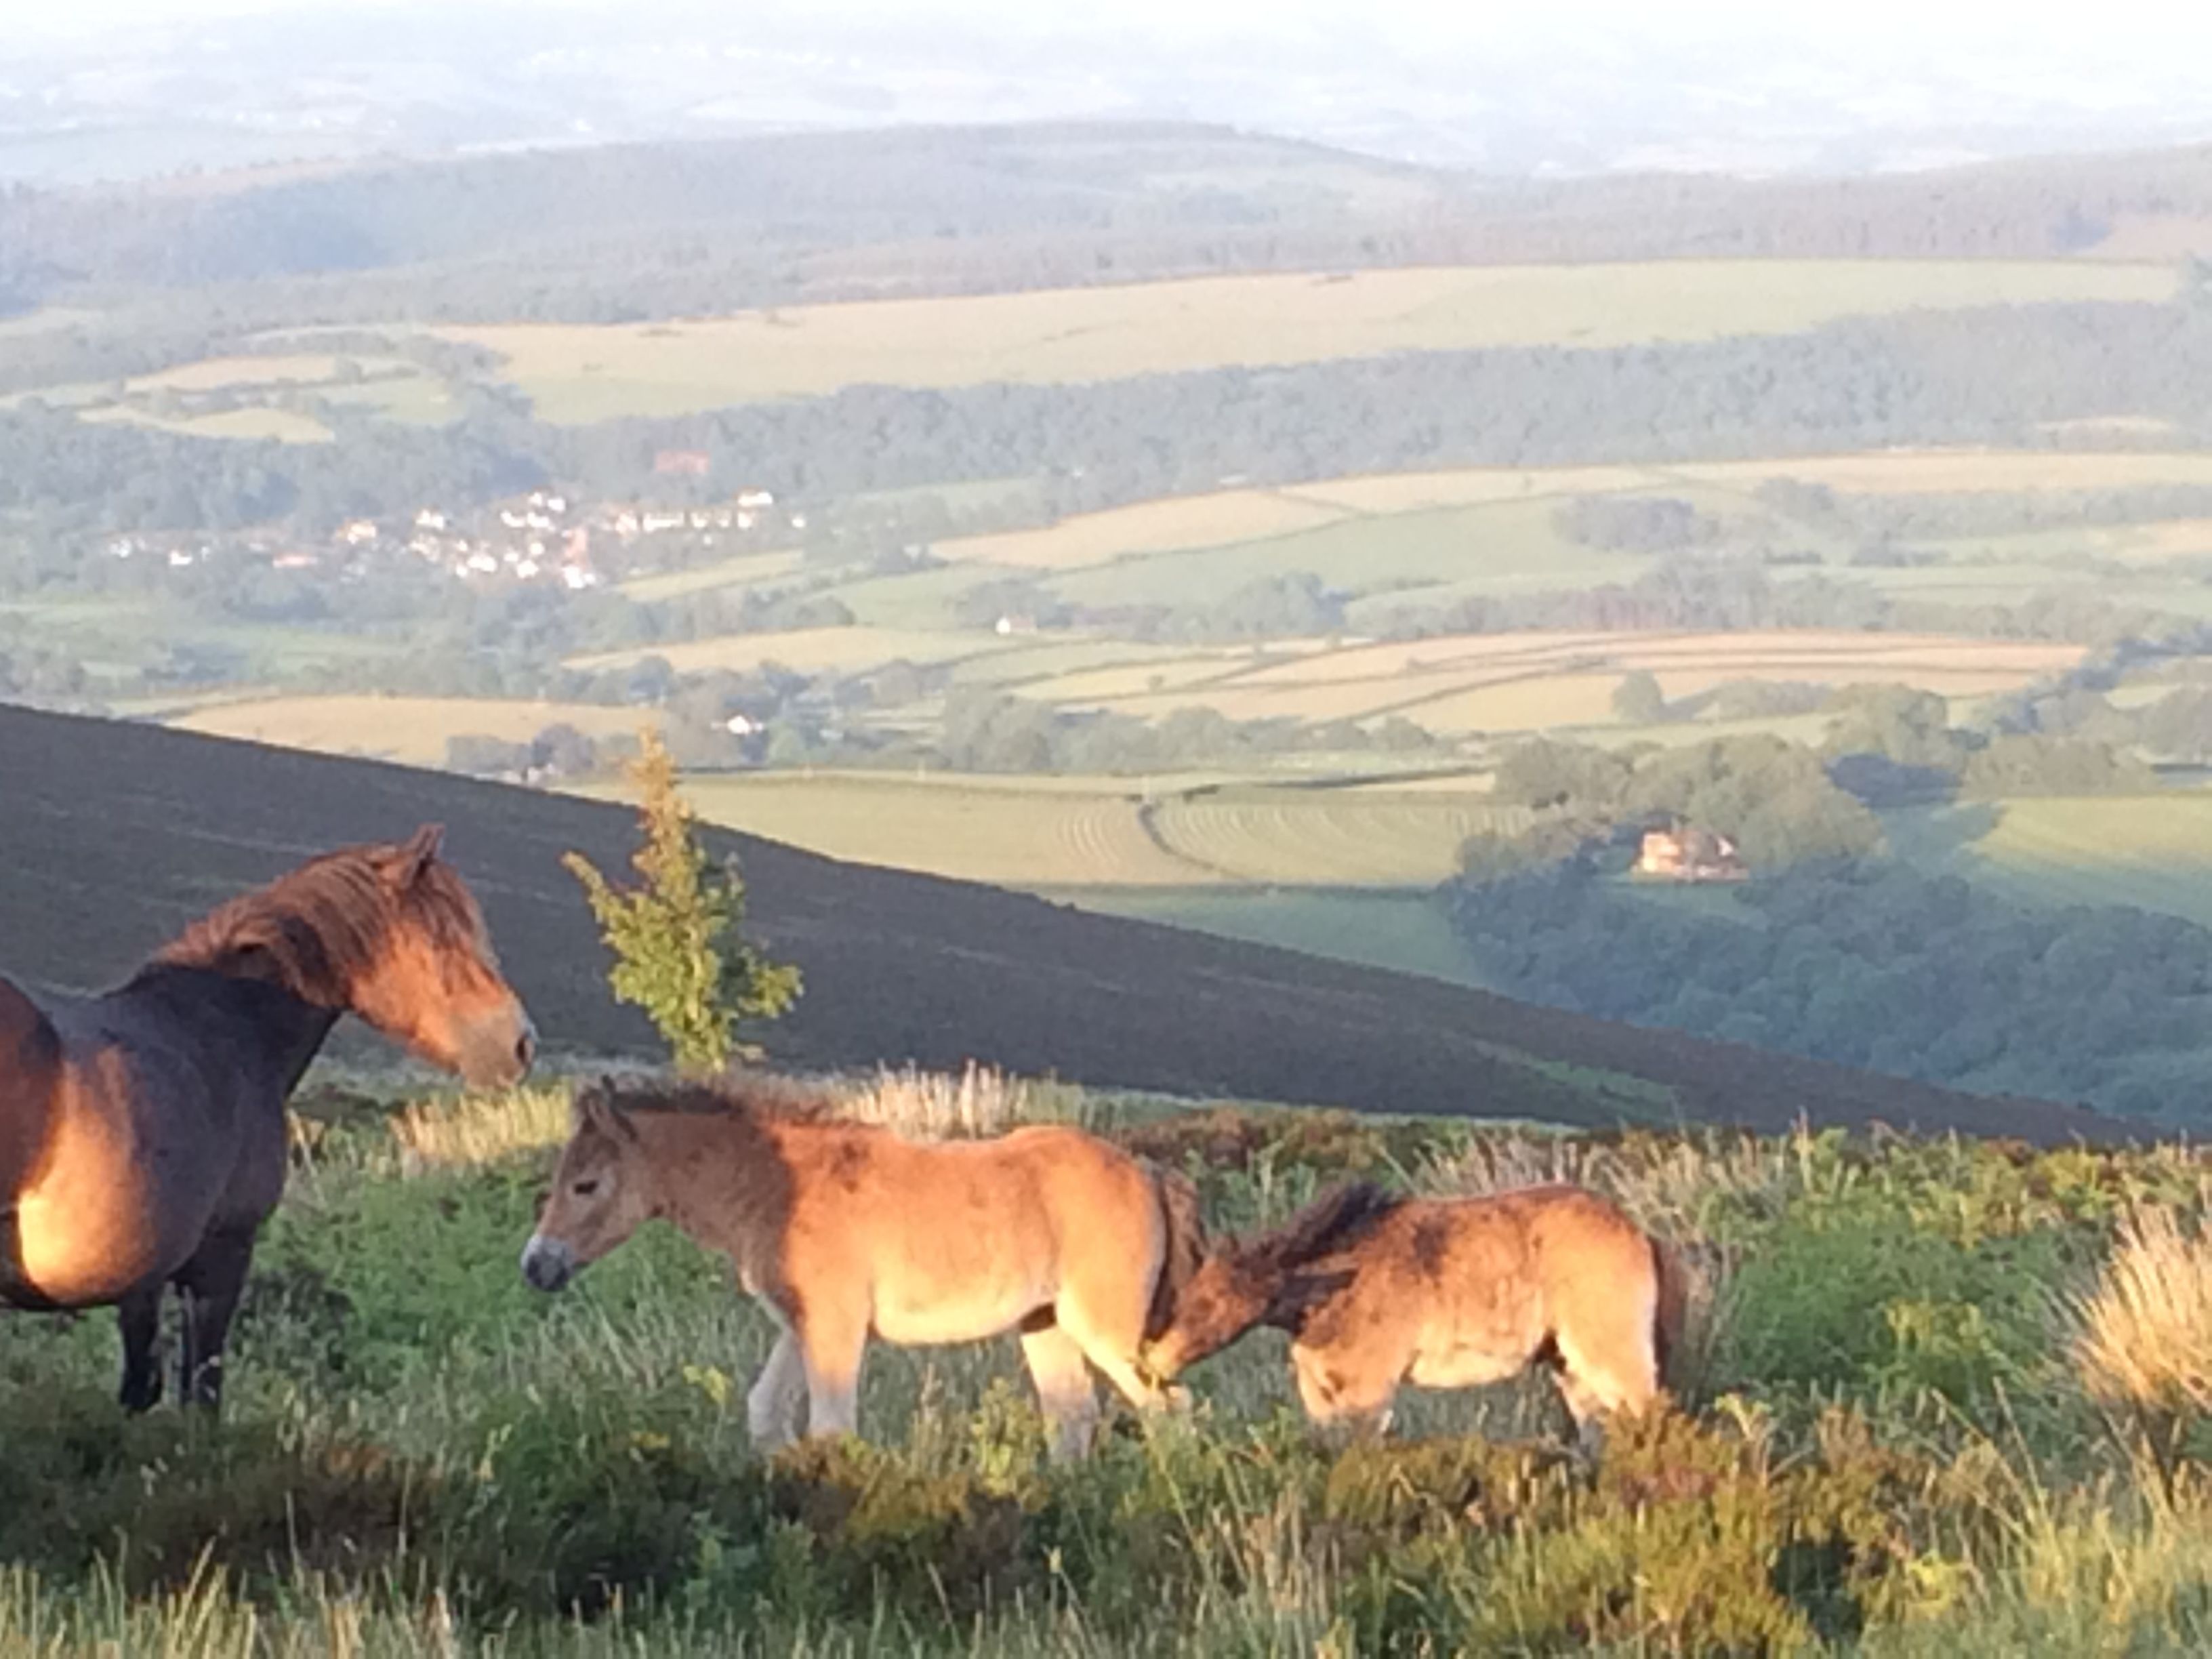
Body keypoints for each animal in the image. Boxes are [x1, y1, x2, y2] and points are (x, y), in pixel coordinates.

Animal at [1, 825, 534, 1410]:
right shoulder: (223, 1261)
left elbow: (142, 1388)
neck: (230, 1026)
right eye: (444, 939)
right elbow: (201, 1396)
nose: (521, 1044)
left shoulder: (146, 1282)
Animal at [522, 1074, 1205, 1459]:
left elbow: (831, 1428)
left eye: (585, 1185)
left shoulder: (835, 1328)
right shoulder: (801, 1326)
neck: (778, 1187)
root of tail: (1147, 1171)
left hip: (1103, 1328)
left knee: (1169, 1410)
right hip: (1045, 1323)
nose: (536, 1266)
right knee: (1073, 1418)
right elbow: (767, 1414)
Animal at [1140, 1181, 1684, 1446]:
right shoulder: (1320, 1389)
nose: (1153, 1360)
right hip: (1569, 1367)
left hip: (1613, 1355)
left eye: (1212, 1301)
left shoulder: (1370, 1389)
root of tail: (1641, 1235)